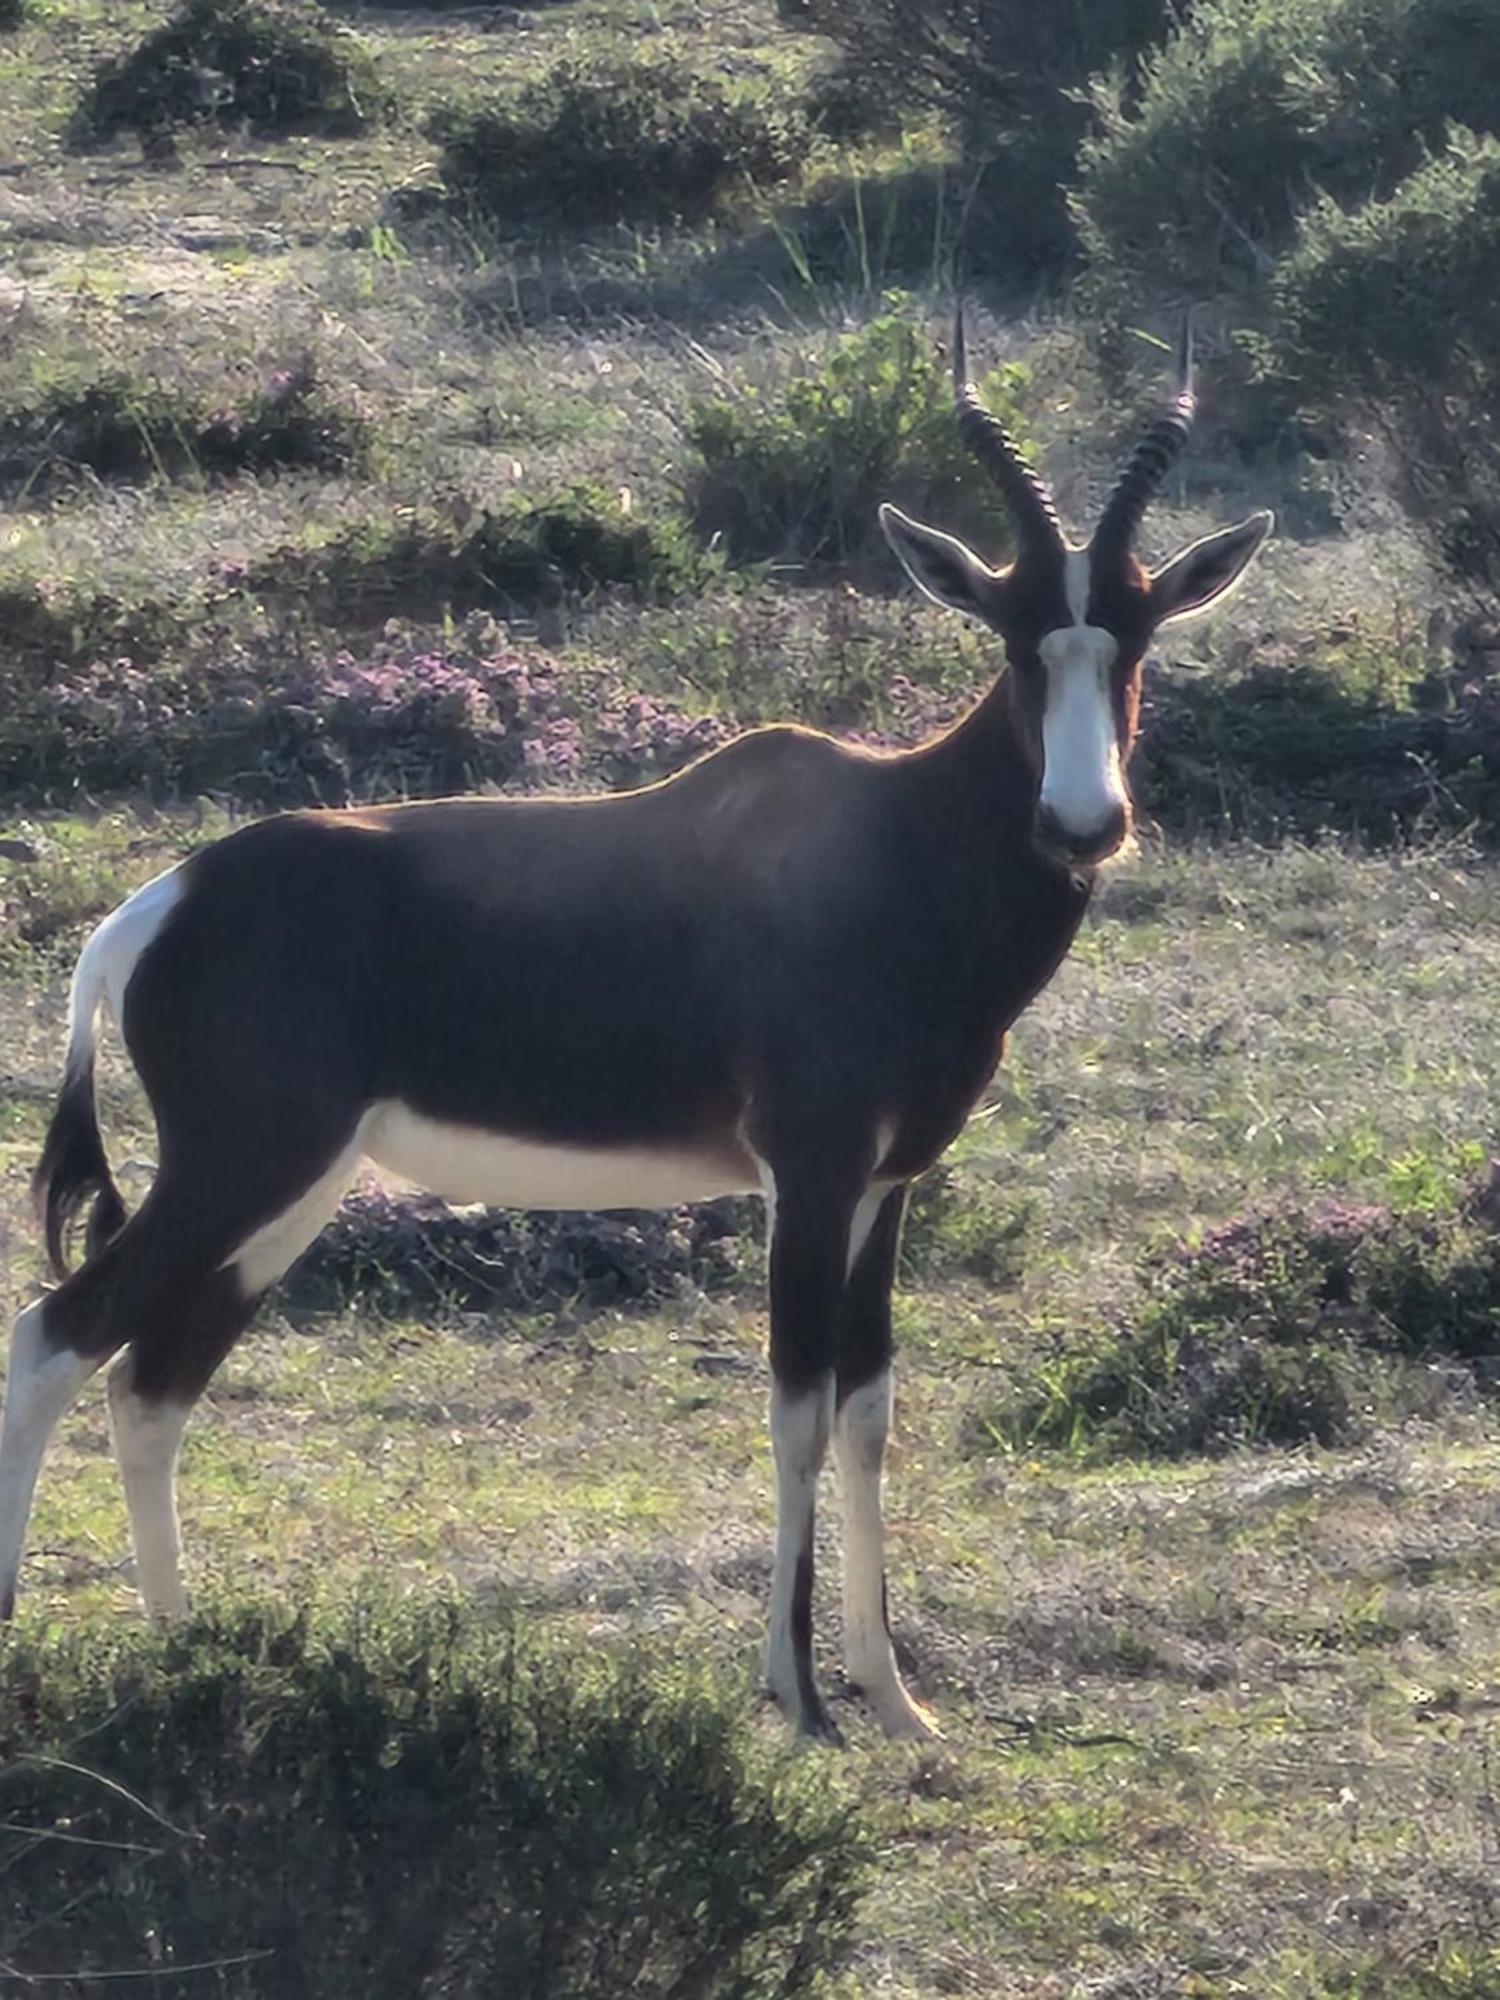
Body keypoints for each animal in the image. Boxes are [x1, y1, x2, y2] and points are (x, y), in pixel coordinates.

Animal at [2, 308, 1272, 1736]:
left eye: (1134, 641)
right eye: (1014, 641)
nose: (1082, 825)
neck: (893, 841)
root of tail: (151, 908)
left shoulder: (887, 1186)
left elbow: (870, 1408)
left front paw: (895, 1700)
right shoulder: (808, 1172)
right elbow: (796, 1404)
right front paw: (801, 1698)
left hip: (286, 1195)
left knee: (149, 1382)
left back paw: (189, 1648)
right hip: (240, 1169)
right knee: (54, 1335)